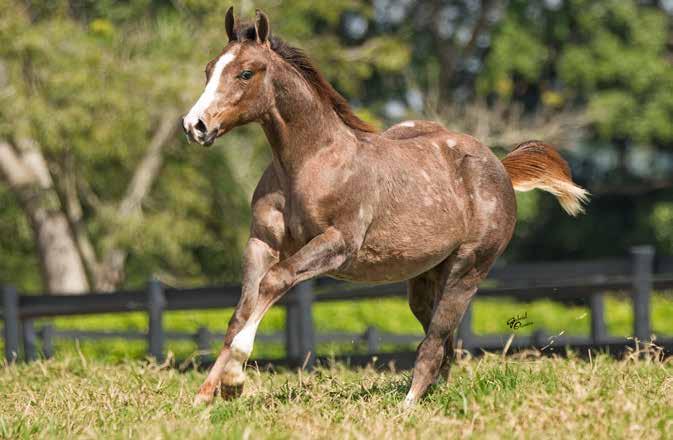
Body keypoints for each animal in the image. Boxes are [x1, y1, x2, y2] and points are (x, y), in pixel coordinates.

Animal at [184, 6, 588, 408]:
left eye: (246, 73)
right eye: (208, 69)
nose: (194, 125)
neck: (310, 162)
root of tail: (500, 168)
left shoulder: (339, 244)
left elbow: (275, 281)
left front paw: (235, 379)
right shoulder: (261, 242)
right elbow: (240, 312)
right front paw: (205, 394)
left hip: (468, 269)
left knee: (434, 342)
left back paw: (408, 406)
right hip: (426, 277)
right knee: (444, 343)